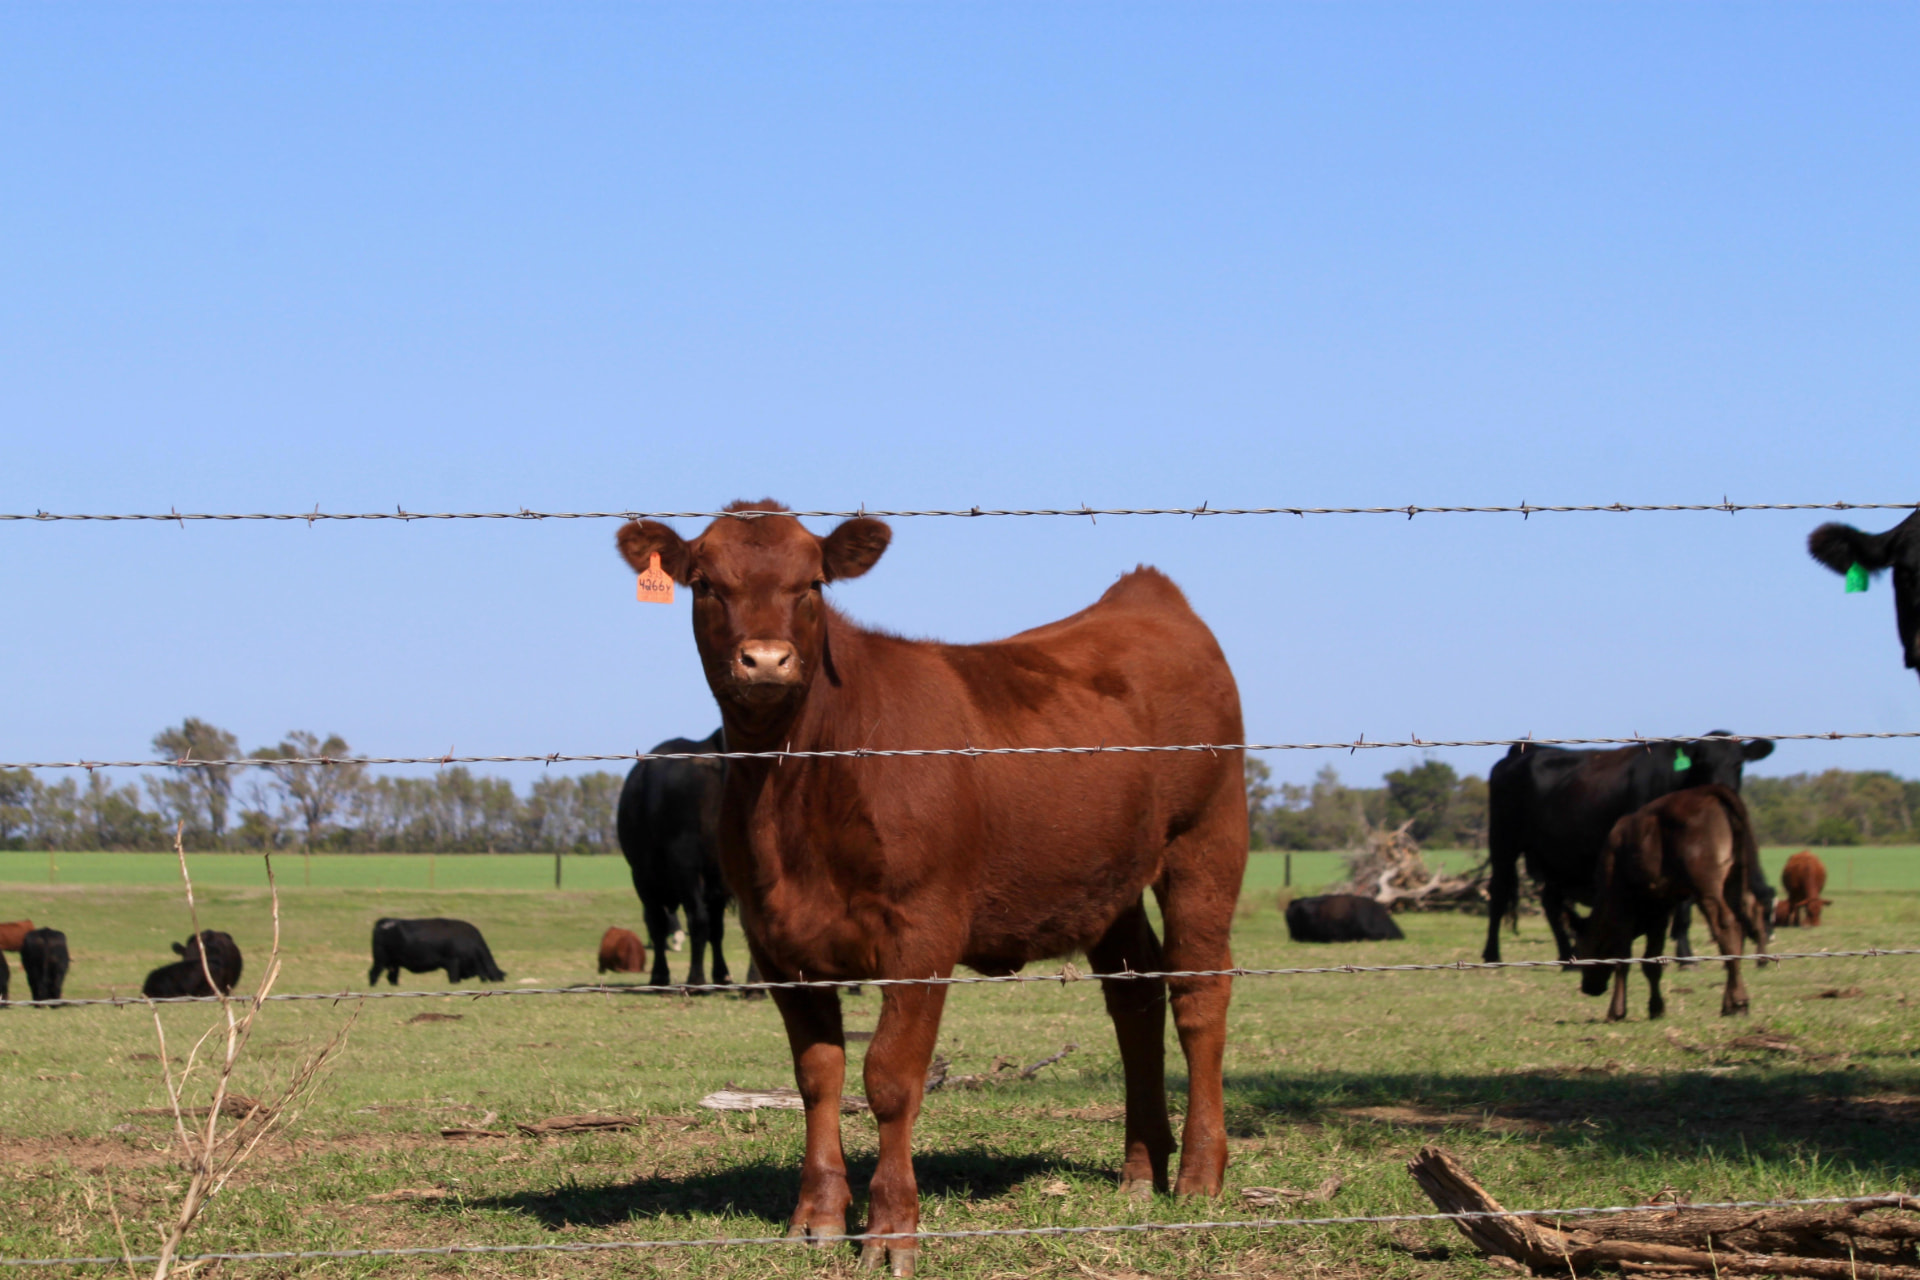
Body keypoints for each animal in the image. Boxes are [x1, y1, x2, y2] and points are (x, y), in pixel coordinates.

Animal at [369, 917, 505, 985]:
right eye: (498, 979)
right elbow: (454, 980)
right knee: (373, 974)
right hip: (380, 959)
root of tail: (384, 921)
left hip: (394, 963)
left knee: (392, 978)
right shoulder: (453, 963)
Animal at [617, 730, 745, 987]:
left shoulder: (643, 878)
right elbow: (717, 930)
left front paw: (659, 975)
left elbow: (656, 923)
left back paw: (696, 980)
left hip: (685, 866)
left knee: (696, 919)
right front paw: (722, 975)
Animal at [1484, 732, 1775, 966]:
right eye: (1703, 763)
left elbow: (1684, 907)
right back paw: (1492, 955)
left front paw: (1684, 954)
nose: (1721, 788)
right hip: (1503, 842)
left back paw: (1567, 956)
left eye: (1738, 763)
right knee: (1498, 893)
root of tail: (1523, 751)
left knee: (1551, 902)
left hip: (1554, 858)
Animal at [1575, 786, 1767, 1021]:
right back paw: (1729, 1004)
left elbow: (1623, 958)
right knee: (1740, 928)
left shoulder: (1621, 905)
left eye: (1582, 951)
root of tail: (1709, 791)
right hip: (1734, 881)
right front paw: (1656, 1007)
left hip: (1707, 889)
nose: (1587, 988)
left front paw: (1617, 1010)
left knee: (1726, 927)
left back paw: (1739, 1002)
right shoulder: (1660, 910)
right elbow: (1652, 961)